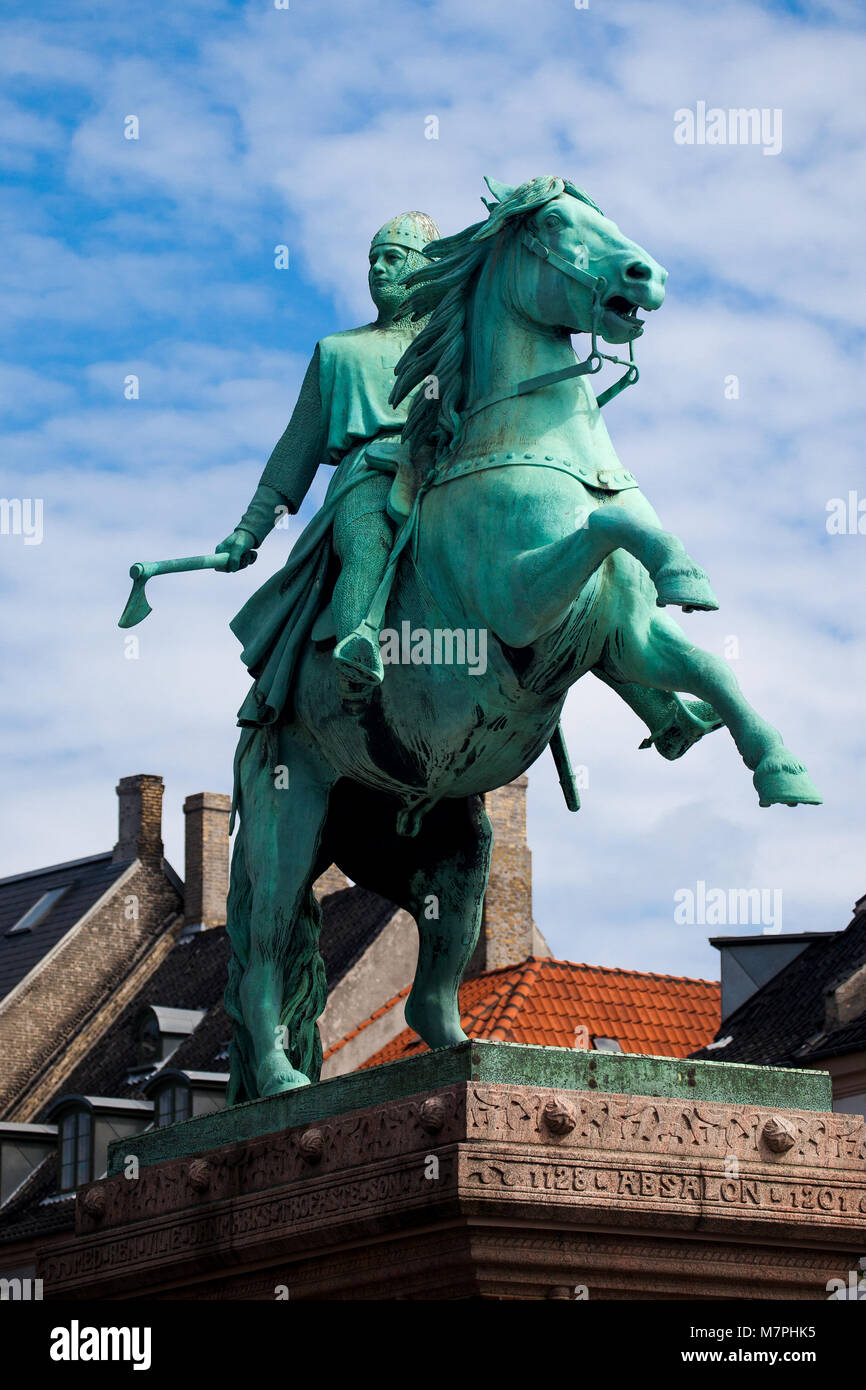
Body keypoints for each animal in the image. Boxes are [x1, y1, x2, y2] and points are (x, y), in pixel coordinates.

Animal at [223, 176, 817, 1095]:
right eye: (556, 221)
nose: (647, 275)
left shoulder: (620, 639)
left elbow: (705, 665)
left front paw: (778, 766)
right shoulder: (522, 598)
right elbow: (615, 524)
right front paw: (686, 569)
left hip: (451, 852)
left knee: (429, 990)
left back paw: (473, 1054)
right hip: (291, 817)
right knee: (263, 948)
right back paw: (284, 1079)